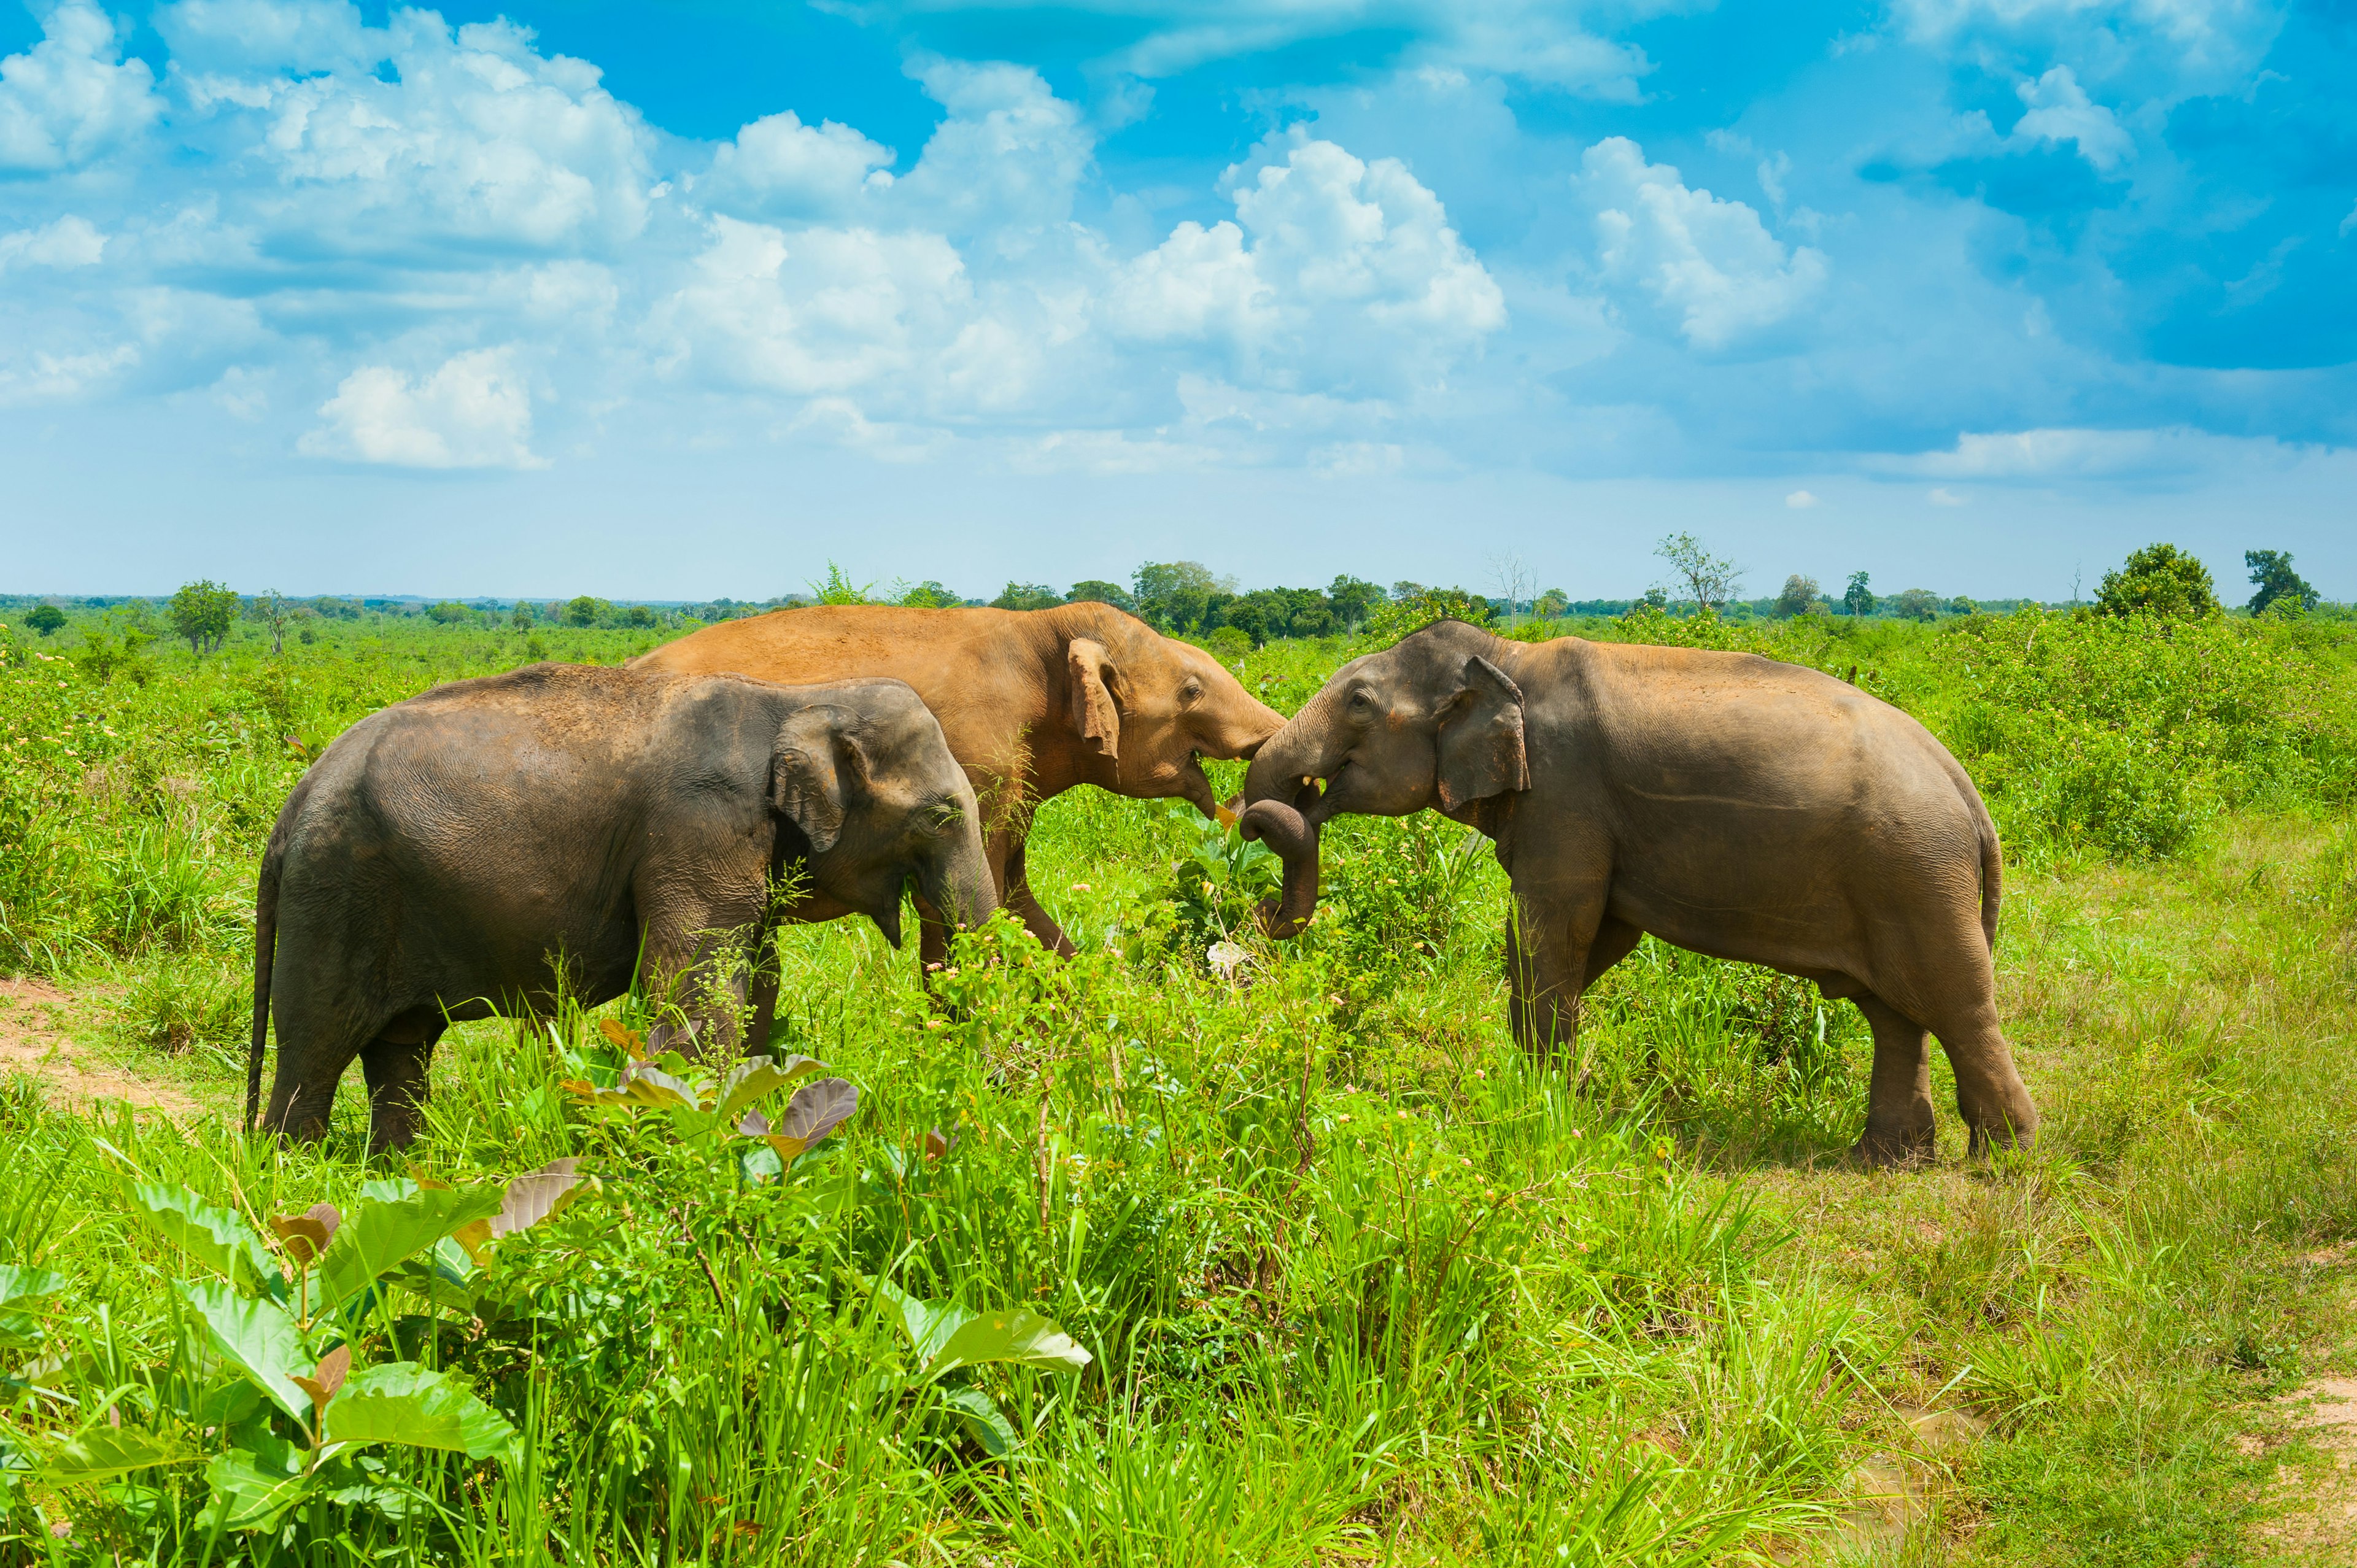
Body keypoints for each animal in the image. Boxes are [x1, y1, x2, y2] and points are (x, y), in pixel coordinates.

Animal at [246, 663, 995, 1153]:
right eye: (942, 814)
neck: (797, 698)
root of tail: (296, 798)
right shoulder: (700, 830)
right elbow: (695, 993)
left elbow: (759, 983)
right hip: (335, 895)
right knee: (317, 1044)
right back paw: (295, 1172)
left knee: (400, 1049)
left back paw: (401, 1172)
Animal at [1239, 619, 2037, 1167]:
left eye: (1360, 702)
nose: (1263, 909)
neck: (1507, 655)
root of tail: (1968, 791)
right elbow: (1591, 937)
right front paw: (1532, 1081)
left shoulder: (1566, 794)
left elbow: (1559, 927)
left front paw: (1541, 1102)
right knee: (1895, 1014)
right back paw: (1886, 1159)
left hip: (1916, 873)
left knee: (1957, 1004)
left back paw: (2002, 1163)